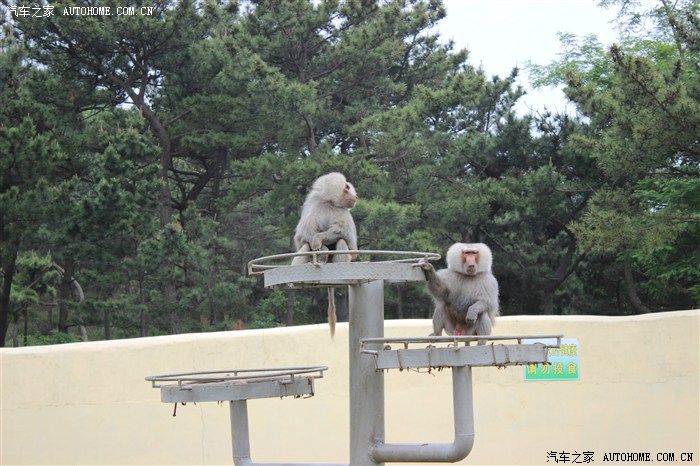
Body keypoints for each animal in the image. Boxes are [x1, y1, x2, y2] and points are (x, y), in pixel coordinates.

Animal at [291, 172, 359, 337]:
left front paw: (320, 242)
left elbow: (347, 239)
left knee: (341, 241)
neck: (330, 204)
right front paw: (321, 248)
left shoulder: (343, 213)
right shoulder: (315, 207)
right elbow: (303, 236)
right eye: (346, 188)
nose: (355, 196)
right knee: (306, 246)